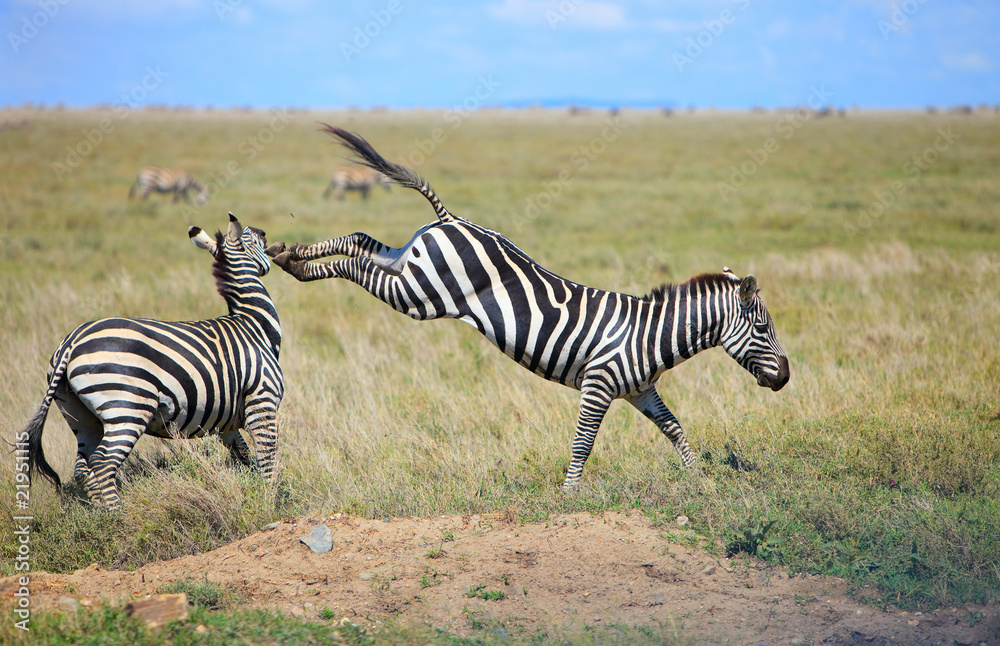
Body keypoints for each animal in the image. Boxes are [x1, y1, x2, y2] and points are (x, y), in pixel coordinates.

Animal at [24, 214, 283, 510]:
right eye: (254, 237)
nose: (268, 234)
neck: (255, 325)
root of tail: (70, 343)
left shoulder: (225, 421)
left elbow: (244, 455)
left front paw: (252, 491)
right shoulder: (262, 401)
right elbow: (267, 460)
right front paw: (269, 502)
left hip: (80, 415)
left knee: (83, 466)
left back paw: (100, 513)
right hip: (127, 406)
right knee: (103, 463)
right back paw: (118, 515)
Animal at [268, 126, 790, 490]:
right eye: (763, 328)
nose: (785, 378)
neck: (648, 336)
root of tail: (451, 218)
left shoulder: (641, 392)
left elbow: (676, 431)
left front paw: (701, 481)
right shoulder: (598, 386)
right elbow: (583, 444)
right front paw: (569, 496)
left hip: (410, 263)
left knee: (360, 241)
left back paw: (290, 255)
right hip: (420, 293)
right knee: (357, 263)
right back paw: (292, 261)